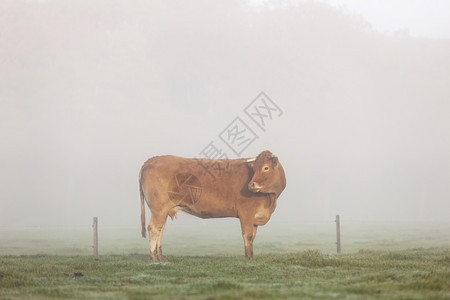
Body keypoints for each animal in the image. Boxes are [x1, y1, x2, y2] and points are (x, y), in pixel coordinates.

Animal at [139, 150, 286, 260]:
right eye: (255, 169)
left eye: (265, 168)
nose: (251, 185)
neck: (270, 199)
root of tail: (152, 160)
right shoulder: (246, 213)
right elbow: (248, 235)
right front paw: (248, 257)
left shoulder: (254, 217)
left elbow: (253, 237)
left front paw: (251, 255)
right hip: (158, 209)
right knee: (154, 229)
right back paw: (154, 258)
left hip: (163, 211)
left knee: (160, 229)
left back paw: (160, 256)